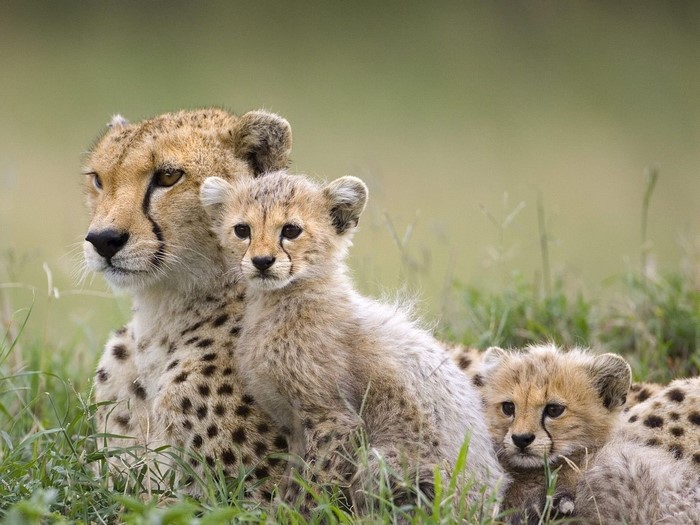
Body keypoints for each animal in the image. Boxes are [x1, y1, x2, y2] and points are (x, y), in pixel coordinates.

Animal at [199, 170, 507, 514]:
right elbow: (294, 477)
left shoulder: (335, 419)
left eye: (291, 230)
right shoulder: (295, 426)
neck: (281, 300)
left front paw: (302, 514)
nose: (262, 261)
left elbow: (314, 483)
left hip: (387, 462)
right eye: (242, 230)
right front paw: (279, 510)